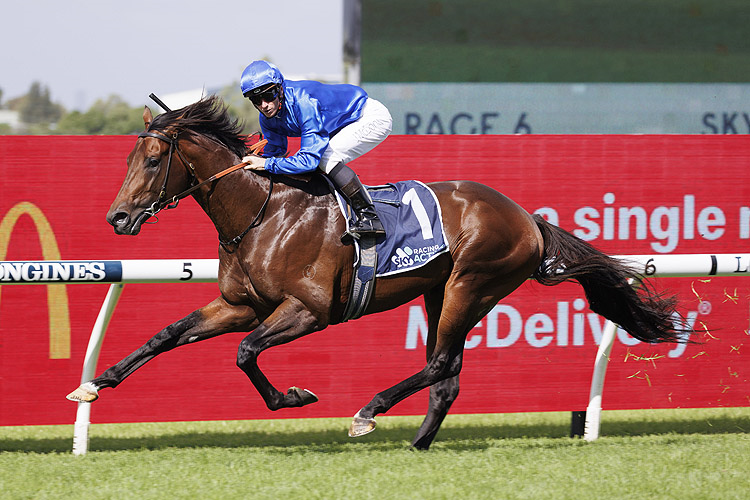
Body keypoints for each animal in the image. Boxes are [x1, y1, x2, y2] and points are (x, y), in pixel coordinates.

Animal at [69, 96, 688, 450]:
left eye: (153, 160)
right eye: (129, 158)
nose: (118, 218)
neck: (263, 213)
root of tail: (526, 218)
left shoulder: (309, 311)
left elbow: (245, 353)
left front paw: (294, 397)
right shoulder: (241, 304)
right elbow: (168, 334)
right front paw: (94, 383)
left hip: (471, 284)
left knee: (439, 363)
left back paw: (369, 413)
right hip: (441, 291)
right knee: (448, 376)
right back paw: (417, 444)